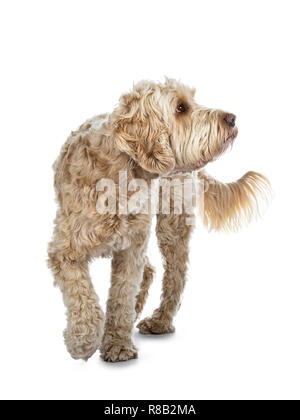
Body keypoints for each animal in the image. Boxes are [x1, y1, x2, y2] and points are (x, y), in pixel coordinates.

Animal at [48, 80, 270, 362]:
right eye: (181, 107)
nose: (231, 118)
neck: (120, 173)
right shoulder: (66, 251)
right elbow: (81, 294)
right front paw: (83, 341)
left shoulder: (130, 250)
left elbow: (121, 296)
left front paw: (117, 343)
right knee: (151, 270)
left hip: (172, 226)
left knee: (174, 276)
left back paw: (159, 321)